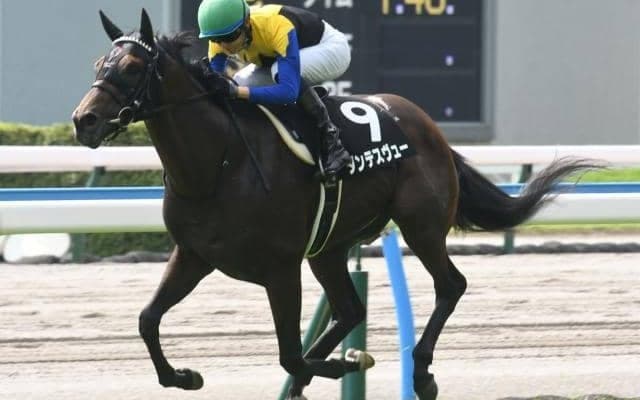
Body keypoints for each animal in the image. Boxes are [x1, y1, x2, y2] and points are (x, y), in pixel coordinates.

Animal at [72, 9, 597, 400]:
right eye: (98, 64)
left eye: (133, 68)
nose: (84, 120)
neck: (218, 162)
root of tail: (429, 127)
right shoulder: (194, 254)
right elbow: (147, 320)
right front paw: (185, 376)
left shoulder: (280, 268)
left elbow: (289, 352)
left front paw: (344, 366)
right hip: (329, 246)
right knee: (350, 308)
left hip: (421, 225)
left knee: (450, 285)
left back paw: (419, 373)